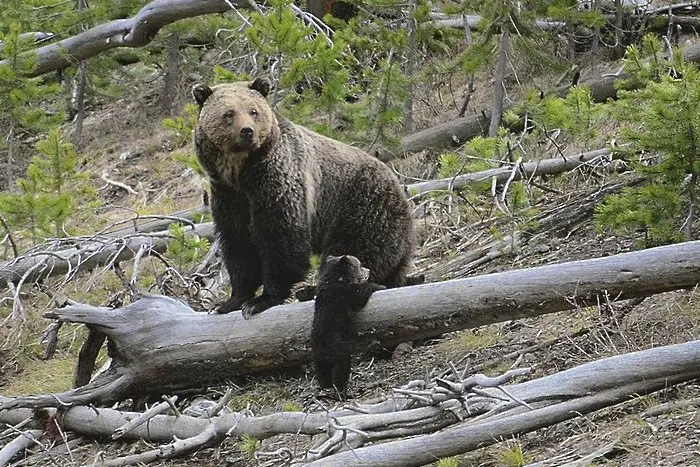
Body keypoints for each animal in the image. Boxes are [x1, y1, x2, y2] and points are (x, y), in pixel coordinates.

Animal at [191, 78, 416, 318]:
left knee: (355, 250)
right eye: (229, 113)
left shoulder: (277, 181)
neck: (240, 172)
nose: (247, 131)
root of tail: (401, 190)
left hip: (362, 206)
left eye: (253, 111)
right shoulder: (228, 195)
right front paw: (231, 301)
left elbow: (281, 237)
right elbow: (238, 243)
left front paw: (262, 300)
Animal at [312, 254, 386, 396]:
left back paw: (325, 385)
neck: (337, 279)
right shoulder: (343, 294)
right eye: (360, 265)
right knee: (341, 367)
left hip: (318, 359)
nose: (368, 270)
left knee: (322, 372)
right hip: (337, 348)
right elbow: (360, 295)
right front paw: (380, 286)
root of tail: (322, 350)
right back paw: (342, 390)